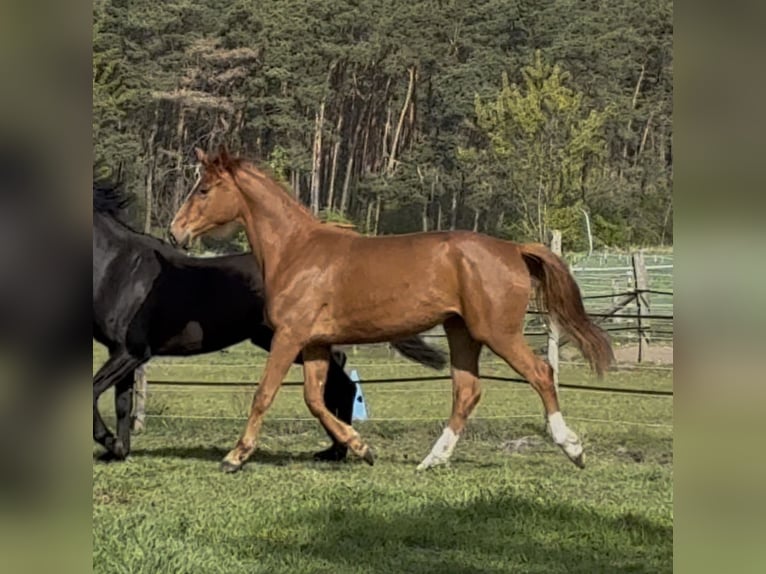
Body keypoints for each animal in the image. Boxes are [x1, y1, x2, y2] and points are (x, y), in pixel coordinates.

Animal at [93, 181, 446, 461]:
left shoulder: (131, 351)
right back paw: (335, 450)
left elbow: (95, 392)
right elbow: (121, 403)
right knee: (339, 381)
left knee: (340, 381)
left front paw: (108, 443)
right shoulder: (121, 353)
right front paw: (118, 450)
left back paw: (340, 451)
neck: (120, 268)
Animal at [169, 147, 614, 473]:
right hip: (461, 332)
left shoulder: (290, 336)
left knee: (540, 374)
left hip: (497, 332)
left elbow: (264, 394)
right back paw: (432, 460)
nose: (175, 232)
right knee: (466, 392)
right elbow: (314, 398)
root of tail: (513, 249)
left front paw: (235, 456)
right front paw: (360, 447)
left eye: (204, 189)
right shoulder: (314, 342)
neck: (298, 252)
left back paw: (572, 448)